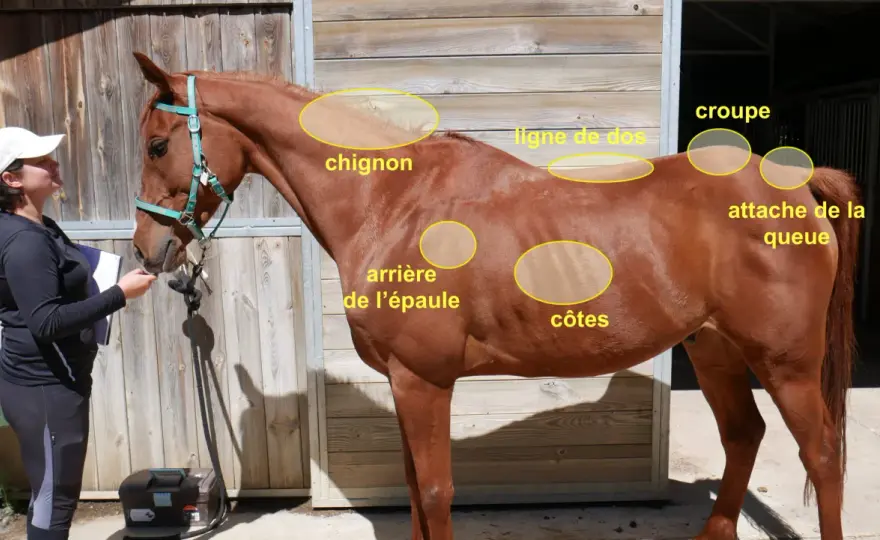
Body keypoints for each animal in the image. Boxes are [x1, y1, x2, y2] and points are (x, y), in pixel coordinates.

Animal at [127, 51, 860, 540]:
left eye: (158, 144)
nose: (146, 251)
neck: (393, 201)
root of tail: (794, 183)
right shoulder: (403, 383)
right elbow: (415, 492)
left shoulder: (423, 381)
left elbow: (435, 490)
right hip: (713, 349)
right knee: (744, 435)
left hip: (787, 363)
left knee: (822, 455)